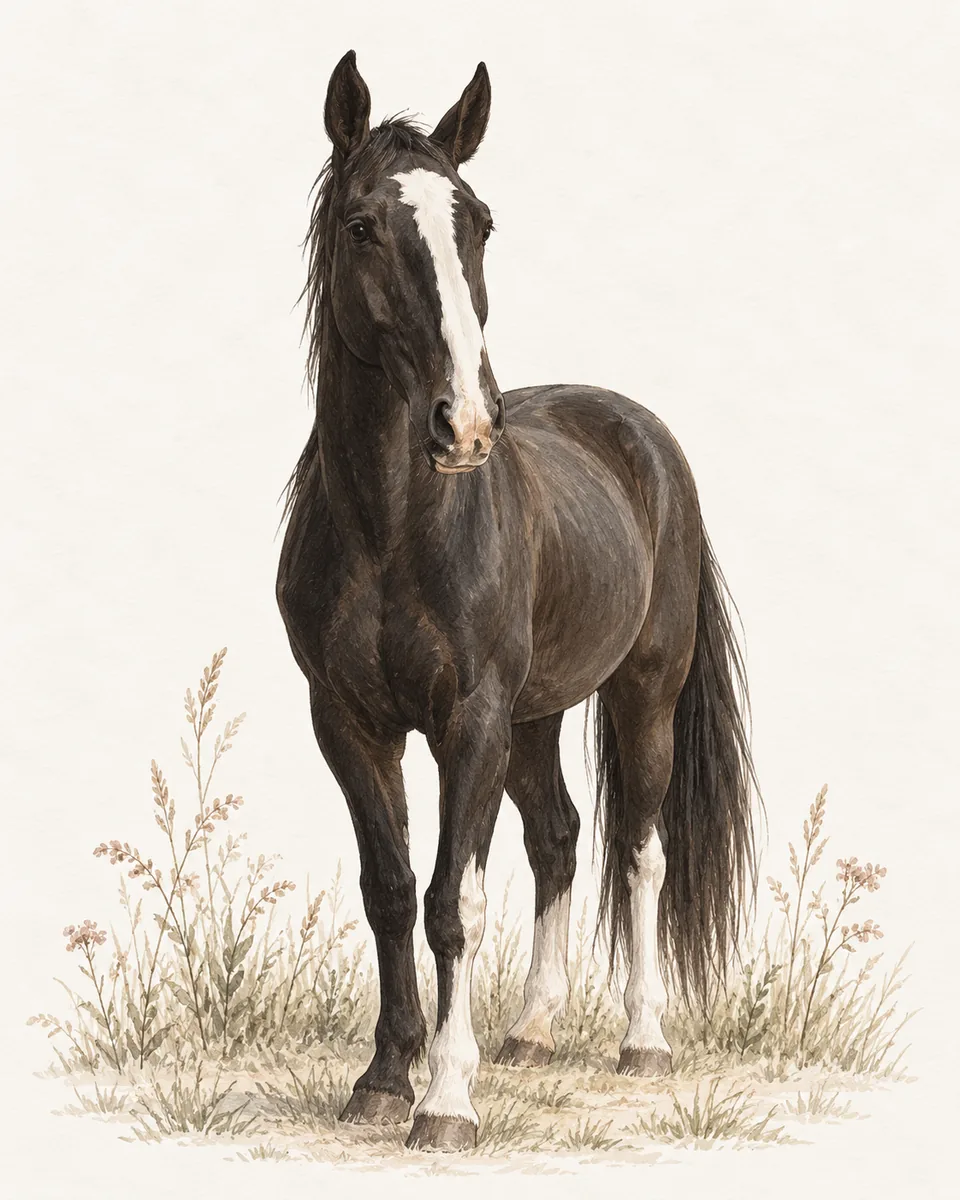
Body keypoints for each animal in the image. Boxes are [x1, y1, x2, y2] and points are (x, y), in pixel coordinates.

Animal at [277, 51, 757, 1152]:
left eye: (481, 223)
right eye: (362, 225)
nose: (464, 425)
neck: (392, 528)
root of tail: (640, 434)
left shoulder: (470, 721)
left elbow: (454, 898)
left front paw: (447, 1099)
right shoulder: (347, 723)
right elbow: (391, 891)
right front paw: (383, 1078)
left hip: (640, 695)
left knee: (639, 852)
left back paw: (642, 1041)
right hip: (536, 717)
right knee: (559, 838)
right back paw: (534, 1031)